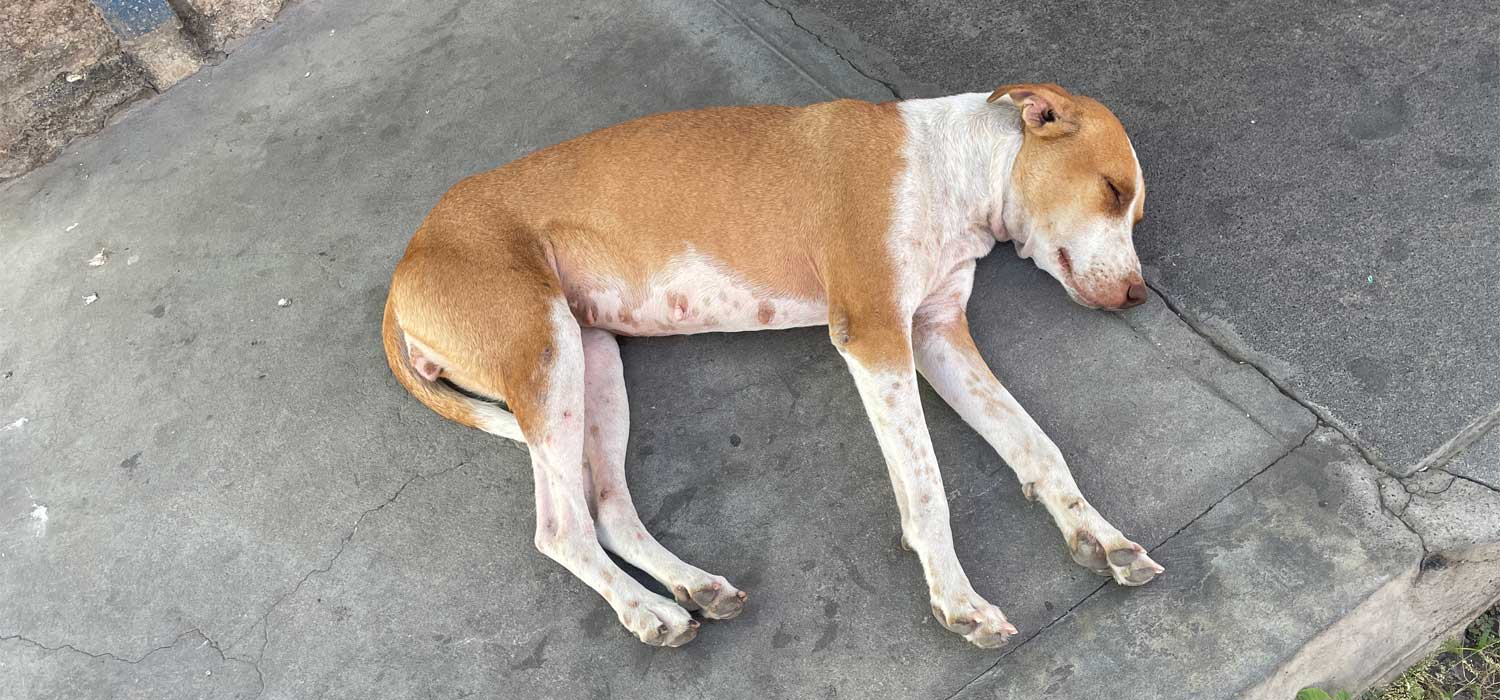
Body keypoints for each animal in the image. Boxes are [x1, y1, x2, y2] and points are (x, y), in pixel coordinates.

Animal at [382, 83, 1163, 648]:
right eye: (1112, 191)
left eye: (1134, 215)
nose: (1137, 296)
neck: (950, 171)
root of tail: (409, 259)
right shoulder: (876, 336)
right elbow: (927, 487)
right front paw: (958, 598)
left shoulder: (937, 334)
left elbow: (1037, 445)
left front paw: (1101, 536)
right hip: (546, 354)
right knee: (561, 528)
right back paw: (646, 611)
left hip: (593, 359)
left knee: (607, 510)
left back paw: (690, 586)